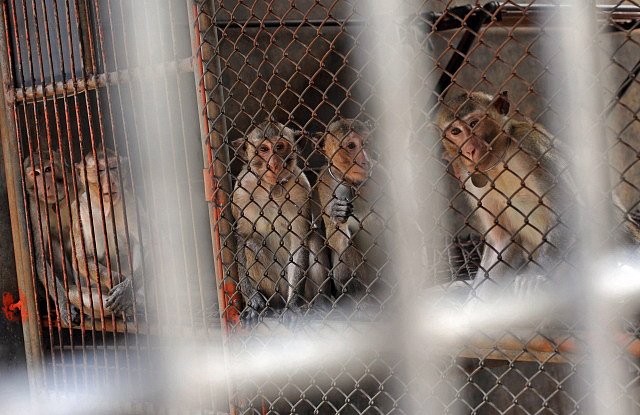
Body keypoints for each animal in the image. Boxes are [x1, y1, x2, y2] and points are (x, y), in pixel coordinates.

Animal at [72, 151, 146, 316]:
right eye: (99, 170)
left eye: (113, 168)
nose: (110, 181)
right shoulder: (79, 209)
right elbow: (82, 258)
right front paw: (115, 279)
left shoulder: (132, 204)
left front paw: (125, 290)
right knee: (74, 293)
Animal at [230, 120, 330, 324]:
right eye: (263, 149)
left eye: (279, 147)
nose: (274, 163)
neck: (272, 188)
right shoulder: (241, 192)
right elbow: (243, 237)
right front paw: (251, 301)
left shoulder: (301, 188)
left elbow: (300, 240)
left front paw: (292, 306)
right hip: (276, 290)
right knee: (252, 244)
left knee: (314, 238)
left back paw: (318, 304)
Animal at [438, 92, 576, 304]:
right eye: (455, 131)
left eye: (474, 123)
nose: (469, 150)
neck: (499, 161)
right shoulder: (470, 177)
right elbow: (501, 240)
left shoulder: (531, 146)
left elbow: (567, 214)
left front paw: (535, 277)